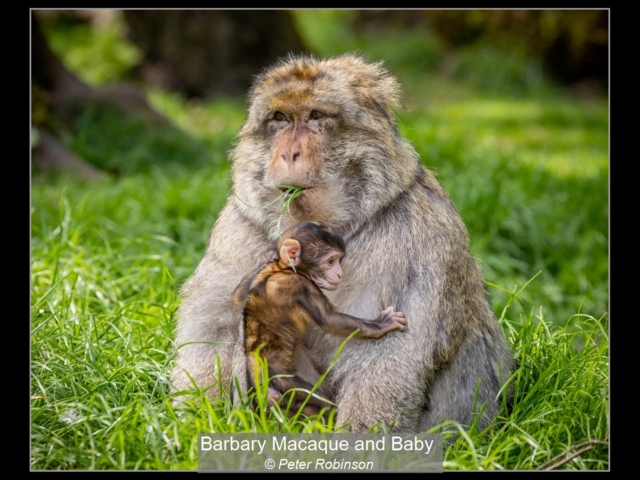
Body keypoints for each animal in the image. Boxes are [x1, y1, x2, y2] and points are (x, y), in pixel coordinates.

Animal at [232, 221, 406, 419]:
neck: (283, 269)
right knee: (322, 402)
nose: (339, 274)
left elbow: (237, 295)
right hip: (291, 386)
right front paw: (382, 324)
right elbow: (329, 320)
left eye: (339, 260)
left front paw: (268, 256)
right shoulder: (301, 286)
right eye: (331, 261)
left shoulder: (260, 276)